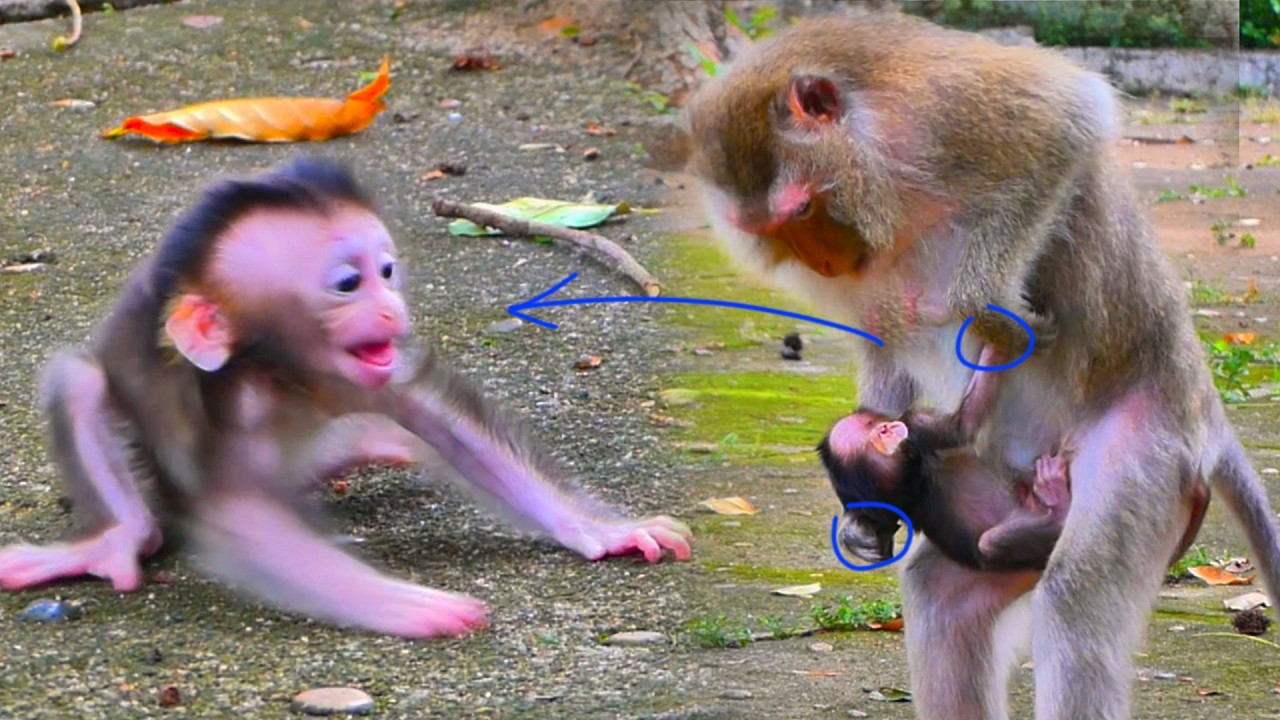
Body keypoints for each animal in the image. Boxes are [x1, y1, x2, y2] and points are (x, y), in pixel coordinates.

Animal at [0, 157, 692, 640]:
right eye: (347, 284)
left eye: (386, 271)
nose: (391, 309)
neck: (289, 374)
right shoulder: (229, 404)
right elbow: (235, 512)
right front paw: (404, 603)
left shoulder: (364, 378)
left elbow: (441, 421)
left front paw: (604, 531)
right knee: (82, 386)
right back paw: (118, 537)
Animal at [819, 345, 1071, 572]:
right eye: (880, 427)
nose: (891, 425)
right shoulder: (918, 427)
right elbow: (963, 426)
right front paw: (996, 348)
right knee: (990, 544)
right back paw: (1056, 502)